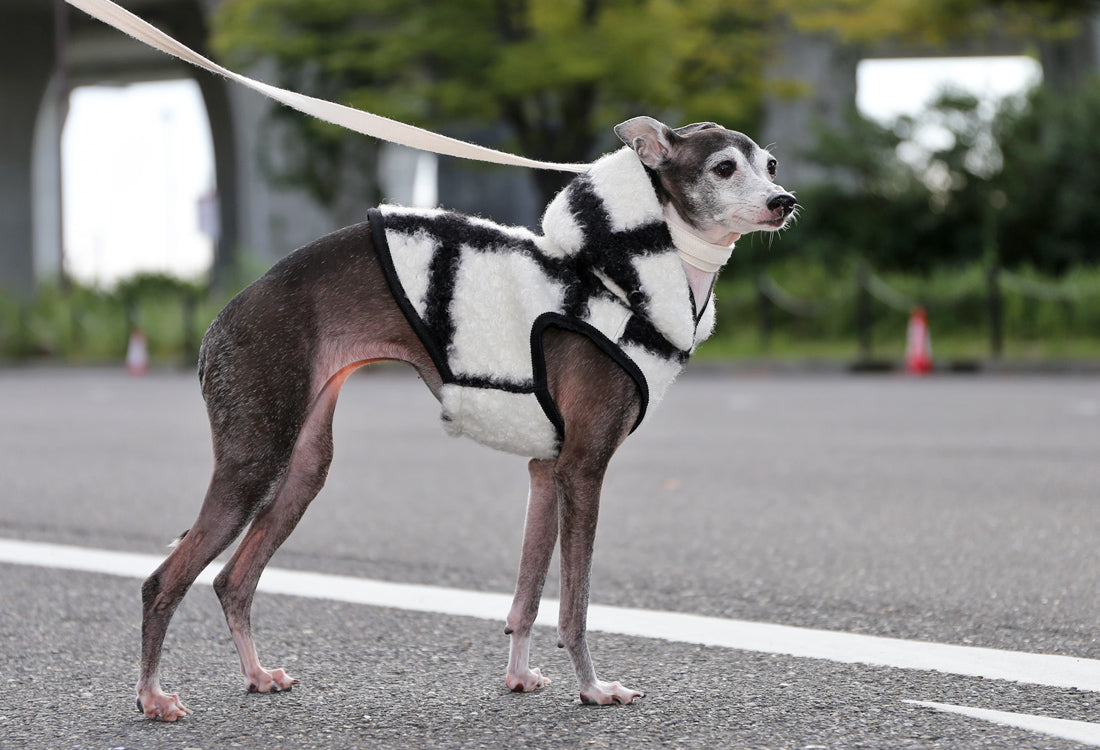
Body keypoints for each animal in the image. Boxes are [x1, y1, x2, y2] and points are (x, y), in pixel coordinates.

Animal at [137, 116, 796, 717]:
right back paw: (153, 697)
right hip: (256, 456)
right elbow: (574, 605)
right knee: (163, 580)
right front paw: (593, 689)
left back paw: (255, 675)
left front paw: (519, 677)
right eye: (723, 168)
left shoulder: (546, 470)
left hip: (302, 467)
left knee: (233, 579)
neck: (619, 280)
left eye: (770, 164)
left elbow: (527, 596)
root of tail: (222, 317)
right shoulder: (583, 469)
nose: (784, 202)